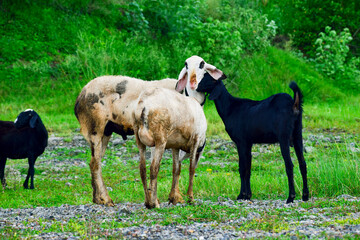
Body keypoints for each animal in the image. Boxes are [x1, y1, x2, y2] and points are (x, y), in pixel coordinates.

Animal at [197, 72, 310, 202]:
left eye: (209, 79)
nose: (196, 87)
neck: (230, 108)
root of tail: (294, 104)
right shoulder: (248, 143)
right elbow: (248, 168)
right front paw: (248, 195)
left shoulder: (241, 141)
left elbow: (242, 168)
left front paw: (241, 195)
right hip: (297, 134)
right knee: (303, 164)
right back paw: (305, 196)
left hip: (284, 137)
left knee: (289, 165)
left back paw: (290, 197)